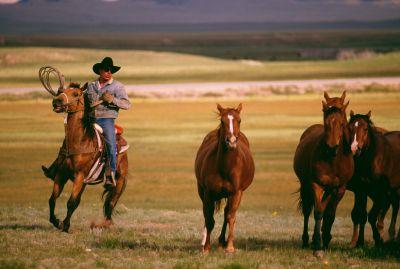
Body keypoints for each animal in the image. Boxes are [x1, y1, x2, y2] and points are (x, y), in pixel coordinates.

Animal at [46, 80, 128, 231]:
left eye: (76, 94)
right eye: (62, 91)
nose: (56, 101)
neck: (79, 141)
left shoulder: (79, 176)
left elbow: (71, 202)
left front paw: (65, 225)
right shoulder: (62, 174)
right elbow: (53, 199)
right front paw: (57, 221)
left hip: (119, 180)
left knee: (111, 202)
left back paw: (107, 224)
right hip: (85, 182)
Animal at [195, 103, 255, 253]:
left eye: (239, 120)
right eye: (222, 121)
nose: (231, 141)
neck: (225, 167)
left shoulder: (236, 193)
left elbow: (230, 217)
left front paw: (230, 246)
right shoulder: (208, 193)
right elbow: (209, 220)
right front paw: (206, 248)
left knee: (226, 213)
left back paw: (222, 241)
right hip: (202, 192)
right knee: (207, 215)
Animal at [294, 93, 354, 256]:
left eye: (342, 123)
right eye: (326, 122)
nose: (331, 147)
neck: (333, 161)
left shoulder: (339, 189)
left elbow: (330, 214)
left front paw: (326, 240)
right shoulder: (316, 185)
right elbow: (318, 212)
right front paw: (318, 246)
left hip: (330, 190)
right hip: (306, 186)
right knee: (308, 210)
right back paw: (306, 240)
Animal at [348, 110, 400, 244]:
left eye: (366, 128)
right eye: (350, 128)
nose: (354, 148)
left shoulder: (381, 192)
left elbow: (372, 215)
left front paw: (378, 239)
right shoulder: (362, 191)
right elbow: (361, 215)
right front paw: (359, 242)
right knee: (395, 205)